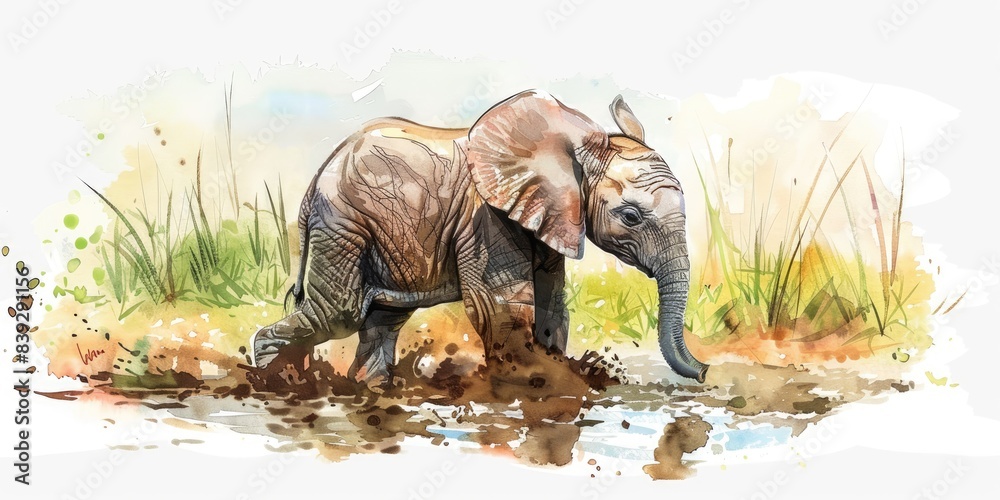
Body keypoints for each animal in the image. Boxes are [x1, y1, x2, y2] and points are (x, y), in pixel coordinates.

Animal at [251, 89, 709, 388]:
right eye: (630, 216)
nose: (704, 371)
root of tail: (316, 178)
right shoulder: (485, 218)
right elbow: (502, 306)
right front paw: (533, 385)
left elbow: (552, 306)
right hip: (344, 223)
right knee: (338, 313)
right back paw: (274, 378)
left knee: (381, 319)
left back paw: (370, 388)